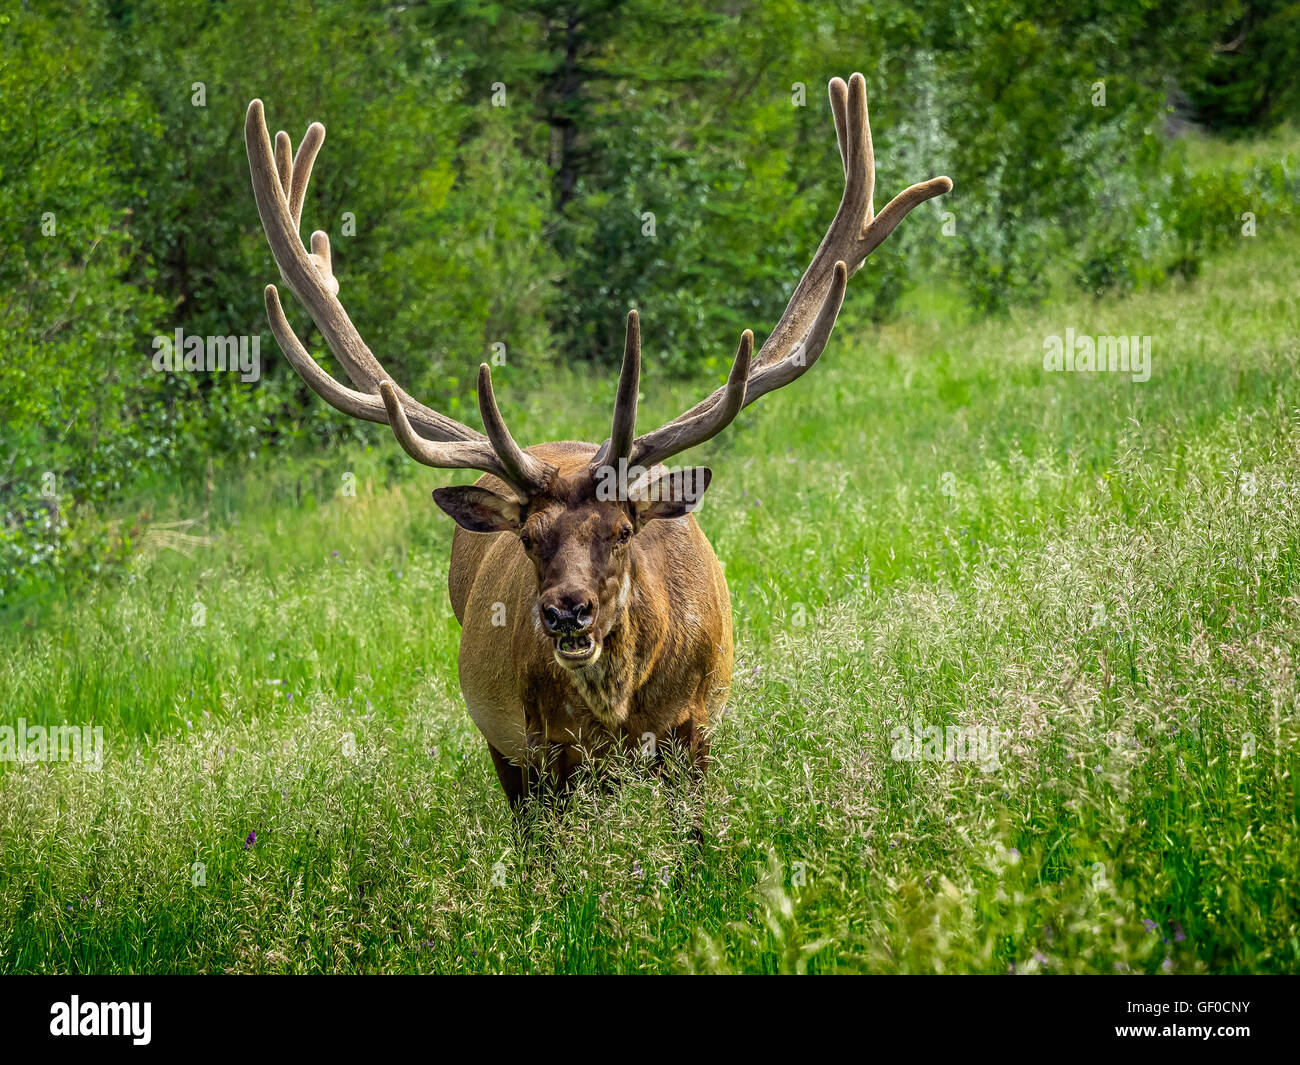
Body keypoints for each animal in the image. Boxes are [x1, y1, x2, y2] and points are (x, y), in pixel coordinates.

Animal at [245, 77, 956, 806]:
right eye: (530, 539)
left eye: (621, 531)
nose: (566, 612)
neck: (620, 709)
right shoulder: (543, 749)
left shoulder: (696, 731)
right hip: (499, 739)